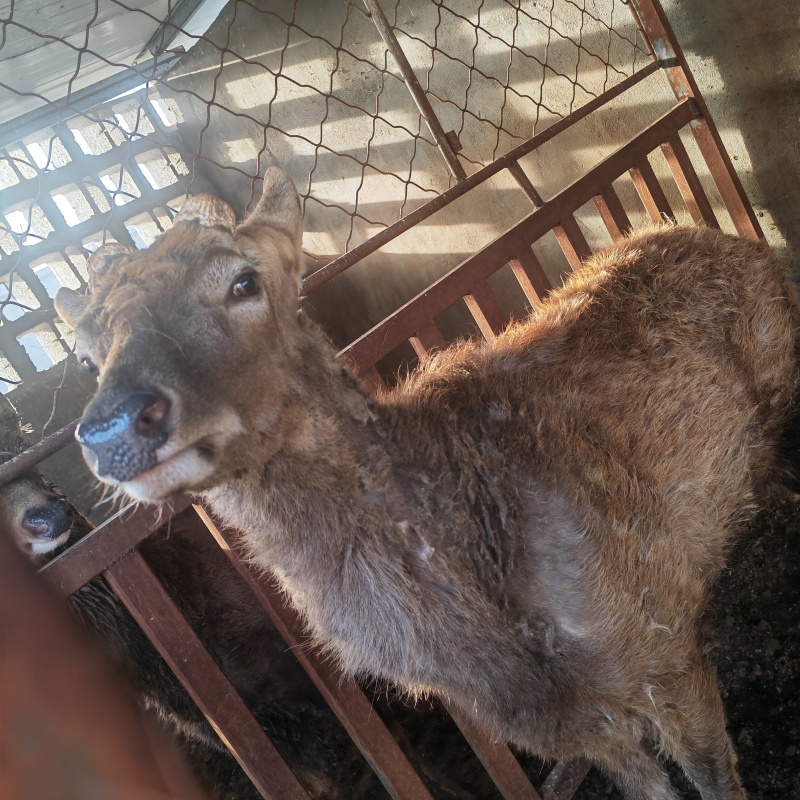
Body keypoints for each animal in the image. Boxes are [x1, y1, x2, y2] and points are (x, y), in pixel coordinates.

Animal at [54, 166, 800, 800]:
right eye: (88, 355)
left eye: (243, 281)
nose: (113, 427)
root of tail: (710, 230)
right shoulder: (575, 728)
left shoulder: (667, 646)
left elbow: (717, 783)